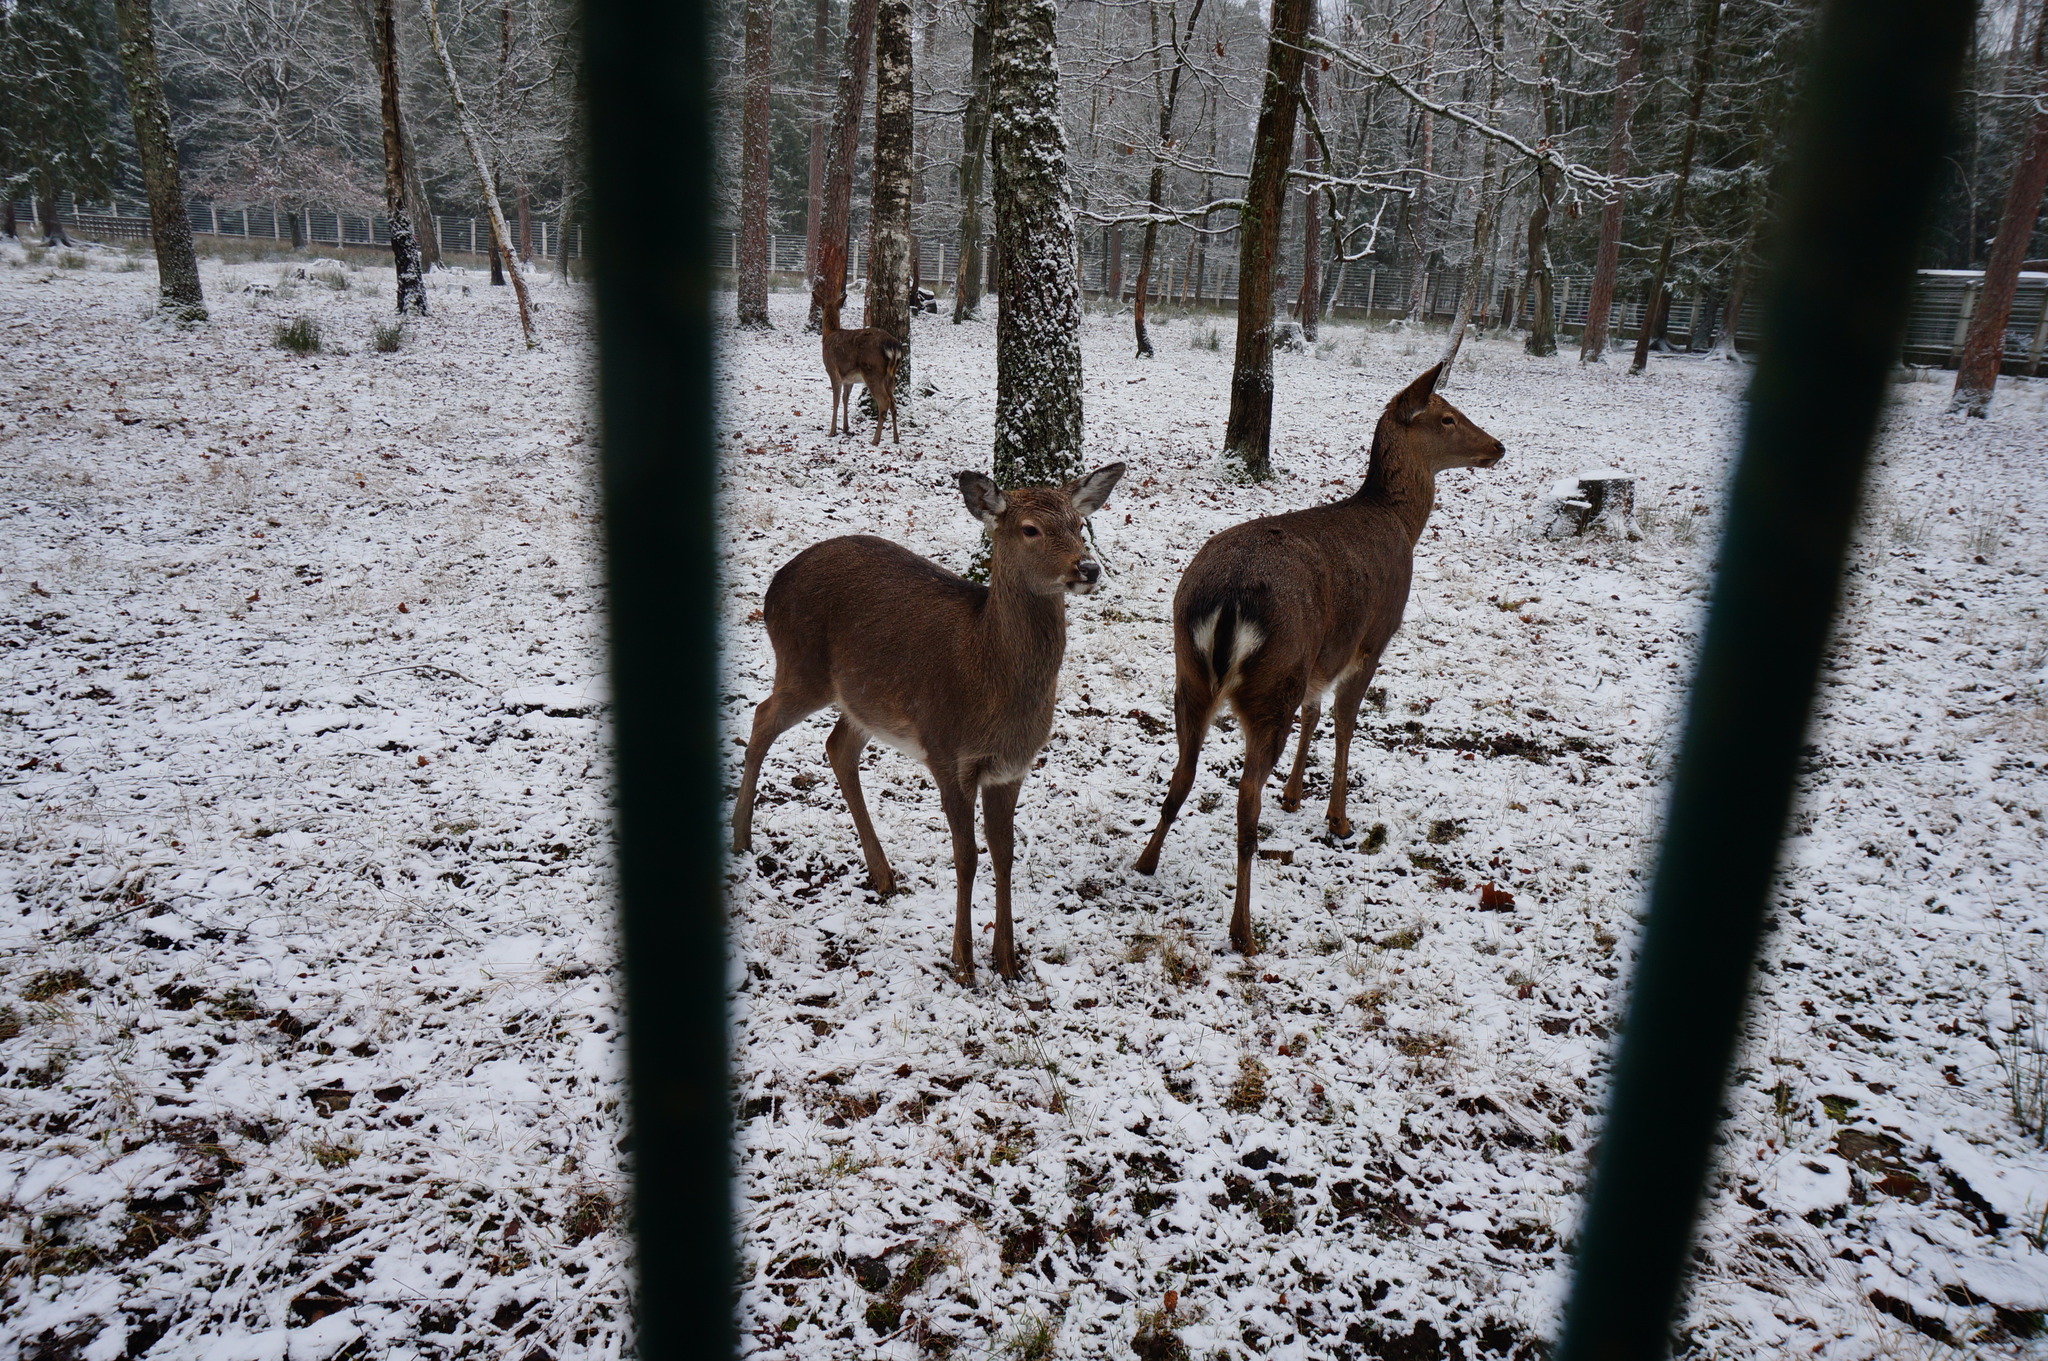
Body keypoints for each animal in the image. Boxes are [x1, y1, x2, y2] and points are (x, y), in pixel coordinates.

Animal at [733, 462, 1130, 982]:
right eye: (1030, 529)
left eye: (1080, 524)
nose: (1087, 568)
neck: (990, 680)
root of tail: (774, 583)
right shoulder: (946, 752)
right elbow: (966, 856)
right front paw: (963, 961)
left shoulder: (1012, 766)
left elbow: (1003, 853)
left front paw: (1008, 960)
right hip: (802, 666)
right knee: (761, 718)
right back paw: (741, 839)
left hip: (864, 699)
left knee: (837, 746)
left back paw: (882, 873)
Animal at [819, 294, 909, 444]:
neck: (827, 336)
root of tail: (893, 347)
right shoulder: (849, 379)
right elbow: (845, 399)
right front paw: (845, 428)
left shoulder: (833, 371)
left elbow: (835, 401)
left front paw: (832, 432)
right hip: (891, 376)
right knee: (893, 403)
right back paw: (896, 439)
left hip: (873, 372)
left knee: (884, 402)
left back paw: (875, 440)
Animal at [1138, 364, 1507, 953]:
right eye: (1448, 416)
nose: (1497, 446)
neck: (1399, 523)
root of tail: (1228, 599)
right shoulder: (1373, 637)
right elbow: (1344, 720)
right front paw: (1338, 819)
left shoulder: (1320, 657)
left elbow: (1316, 710)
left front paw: (1293, 795)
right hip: (1273, 681)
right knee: (1245, 796)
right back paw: (1243, 930)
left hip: (1190, 673)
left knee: (1183, 771)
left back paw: (1146, 861)